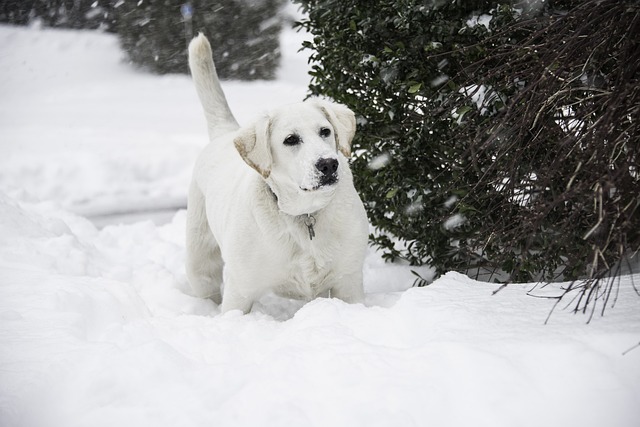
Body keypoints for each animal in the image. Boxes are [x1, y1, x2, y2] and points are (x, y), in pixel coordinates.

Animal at [185, 34, 368, 314]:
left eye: (325, 131)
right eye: (290, 139)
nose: (328, 164)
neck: (305, 215)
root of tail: (226, 132)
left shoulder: (348, 283)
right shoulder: (240, 291)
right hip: (200, 258)